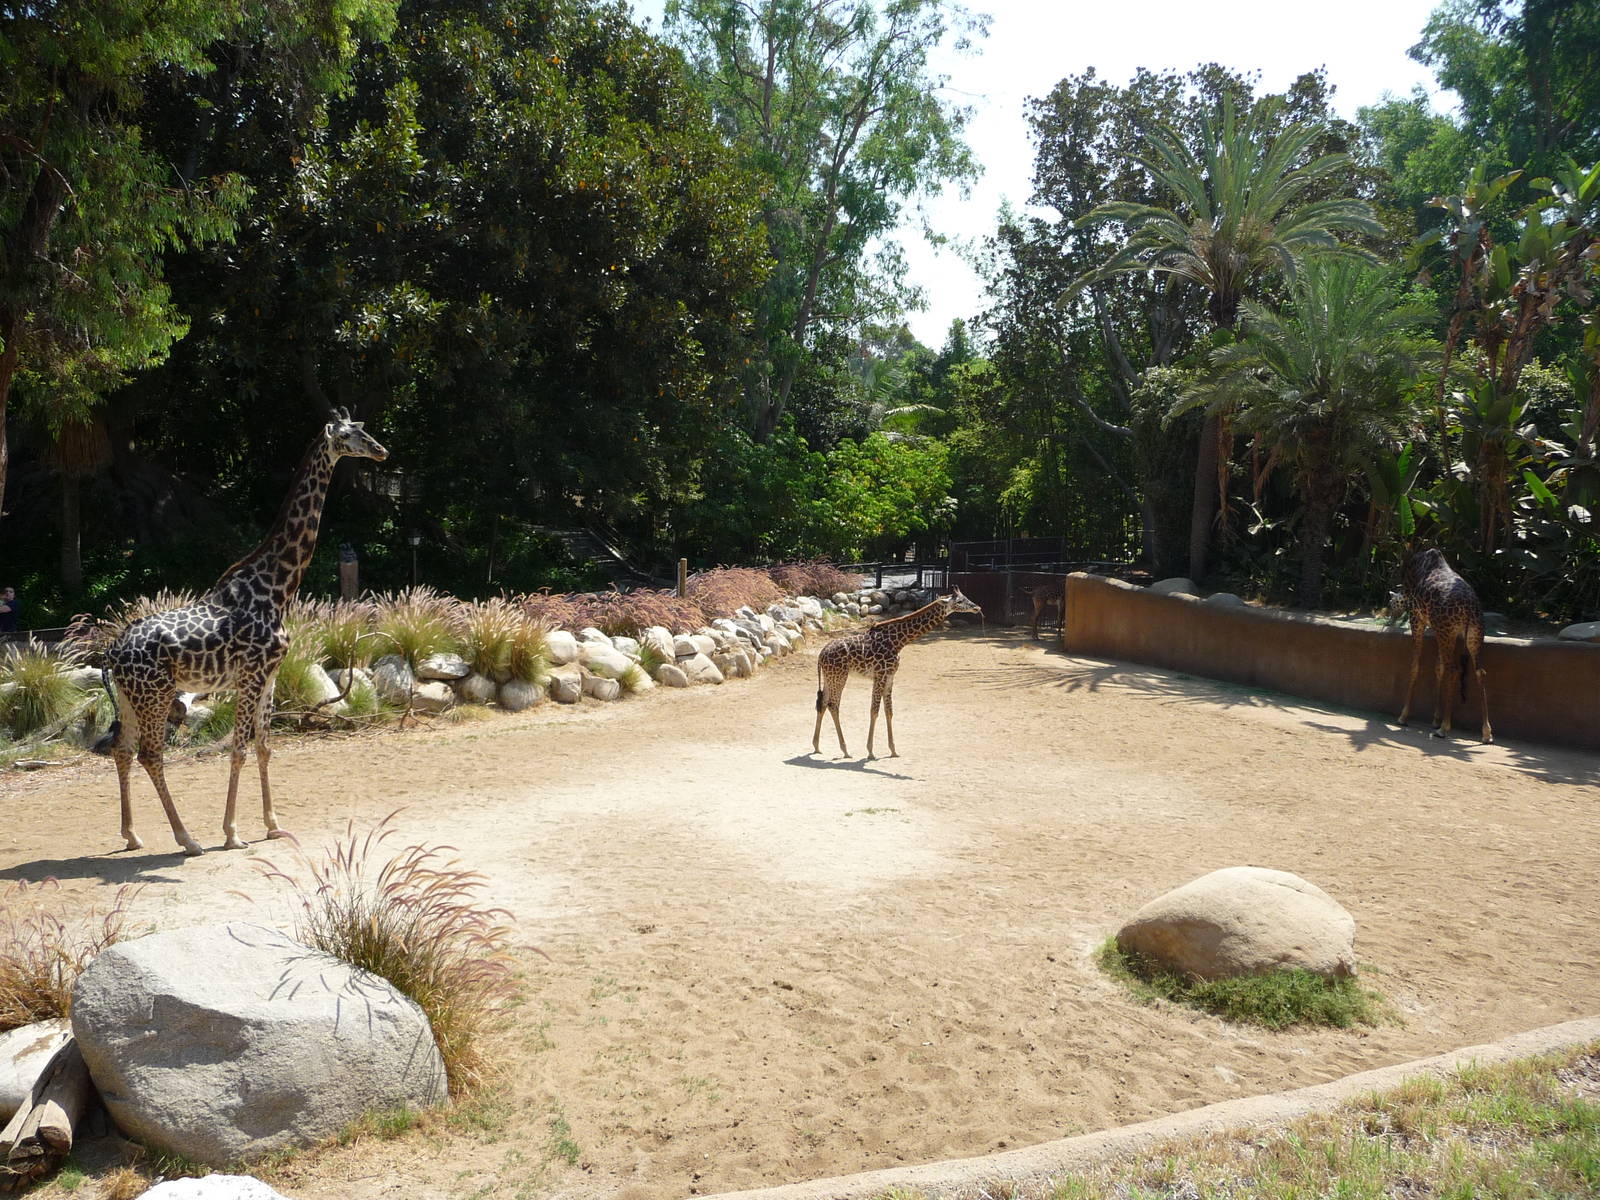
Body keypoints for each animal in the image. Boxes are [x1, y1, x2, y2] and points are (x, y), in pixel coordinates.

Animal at [102, 410, 388, 855]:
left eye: (363, 428)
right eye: (347, 435)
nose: (380, 450)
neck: (278, 588)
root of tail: (113, 652)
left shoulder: (269, 676)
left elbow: (264, 747)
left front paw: (273, 825)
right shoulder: (250, 676)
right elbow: (237, 750)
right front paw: (232, 833)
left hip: (132, 696)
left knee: (123, 750)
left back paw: (132, 835)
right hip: (156, 695)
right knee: (150, 754)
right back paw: (188, 839)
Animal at [812, 587, 983, 759]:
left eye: (966, 597)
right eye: (959, 601)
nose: (977, 608)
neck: (898, 642)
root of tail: (820, 655)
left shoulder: (890, 676)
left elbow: (889, 711)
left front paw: (893, 750)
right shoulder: (880, 675)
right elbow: (874, 711)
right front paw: (870, 751)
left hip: (830, 677)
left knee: (823, 703)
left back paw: (817, 746)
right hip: (840, 676)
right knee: (833, 705)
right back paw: (845, 750)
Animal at [1395, 546, 1492, 743]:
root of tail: (1469, 608)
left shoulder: (1416, 618)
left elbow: (1415, 665)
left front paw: (1403, 716)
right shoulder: (1438, 629)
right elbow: (1437, 667)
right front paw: (1434, 719)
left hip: (1447, 631)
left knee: (1453, 669)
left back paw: (1444, 728)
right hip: (1471, 635)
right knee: (1479, 671)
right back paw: (1486, 733)